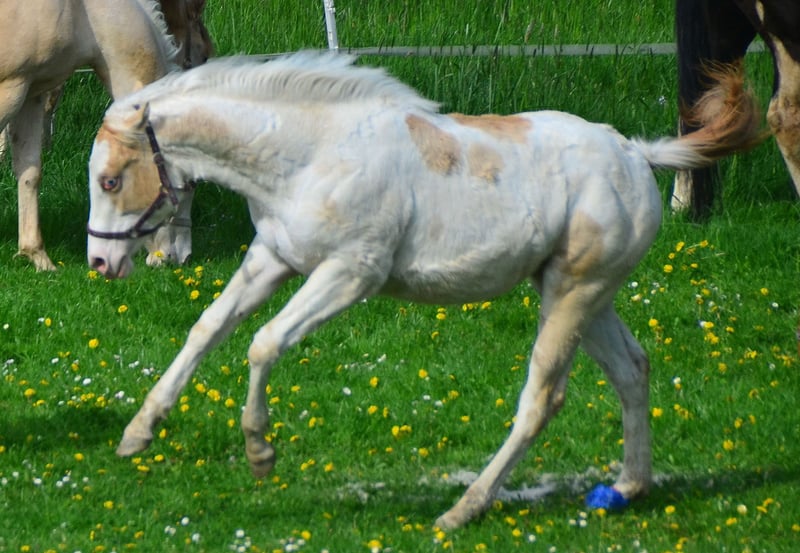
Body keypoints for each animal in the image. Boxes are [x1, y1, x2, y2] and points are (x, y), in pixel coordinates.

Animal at [0, 0, 208, 271]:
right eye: (188, 186)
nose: (180, 257)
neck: (84, 12)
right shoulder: (10, 90)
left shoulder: (33, 93)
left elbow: (30, 174)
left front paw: (37, 256)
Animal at [84, 52, 763, 528]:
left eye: (112, 179)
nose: (99, 261)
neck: (309, 156)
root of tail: (635, 155)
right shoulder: (272, 259)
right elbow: (208, 328)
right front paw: (137, 434)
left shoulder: (350, 273)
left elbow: (264, 343)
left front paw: (260, 453)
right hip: (588, 299)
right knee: (633, 368)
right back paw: (626, 487)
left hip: (573, 294)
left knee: (542, 398)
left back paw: (464, 510)